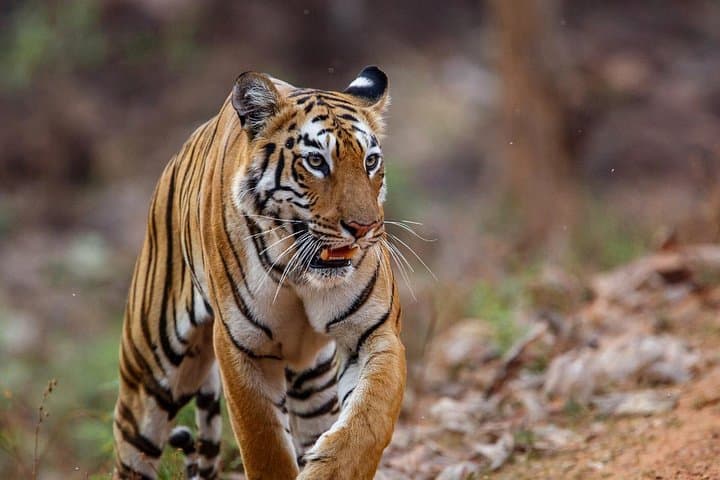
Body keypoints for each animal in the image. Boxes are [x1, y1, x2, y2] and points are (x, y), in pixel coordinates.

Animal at [112, 66, 406, 480]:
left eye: (370, 162)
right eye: (316, 162)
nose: (364, 228)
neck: (301, 274)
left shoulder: (375, 333)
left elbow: (368, 420)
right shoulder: (242, 348)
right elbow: (264, 443)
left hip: (312, 379)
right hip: (148, 371)